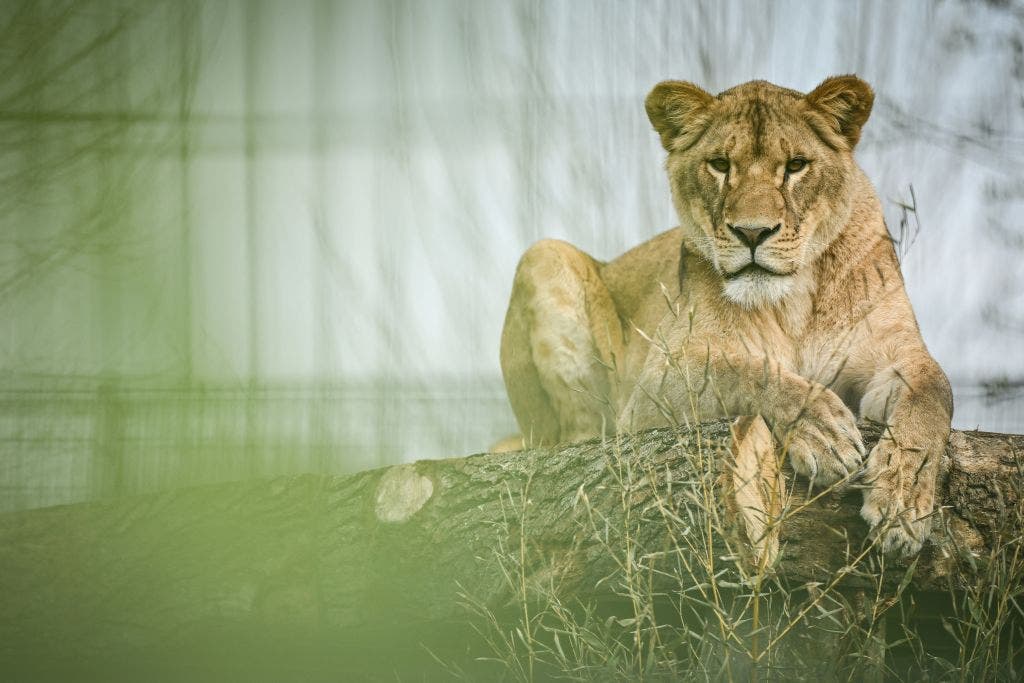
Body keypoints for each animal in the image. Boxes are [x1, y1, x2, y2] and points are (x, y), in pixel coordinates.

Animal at [498, 76, 953, 557]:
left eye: (795, 166)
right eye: (719, 165)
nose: (752, 233)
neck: (793, 303)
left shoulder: (892, 350)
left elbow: (933, 393)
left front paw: (903, 501)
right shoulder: (654, 386)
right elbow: (745, 371)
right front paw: (822, 431)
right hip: (545, 254)